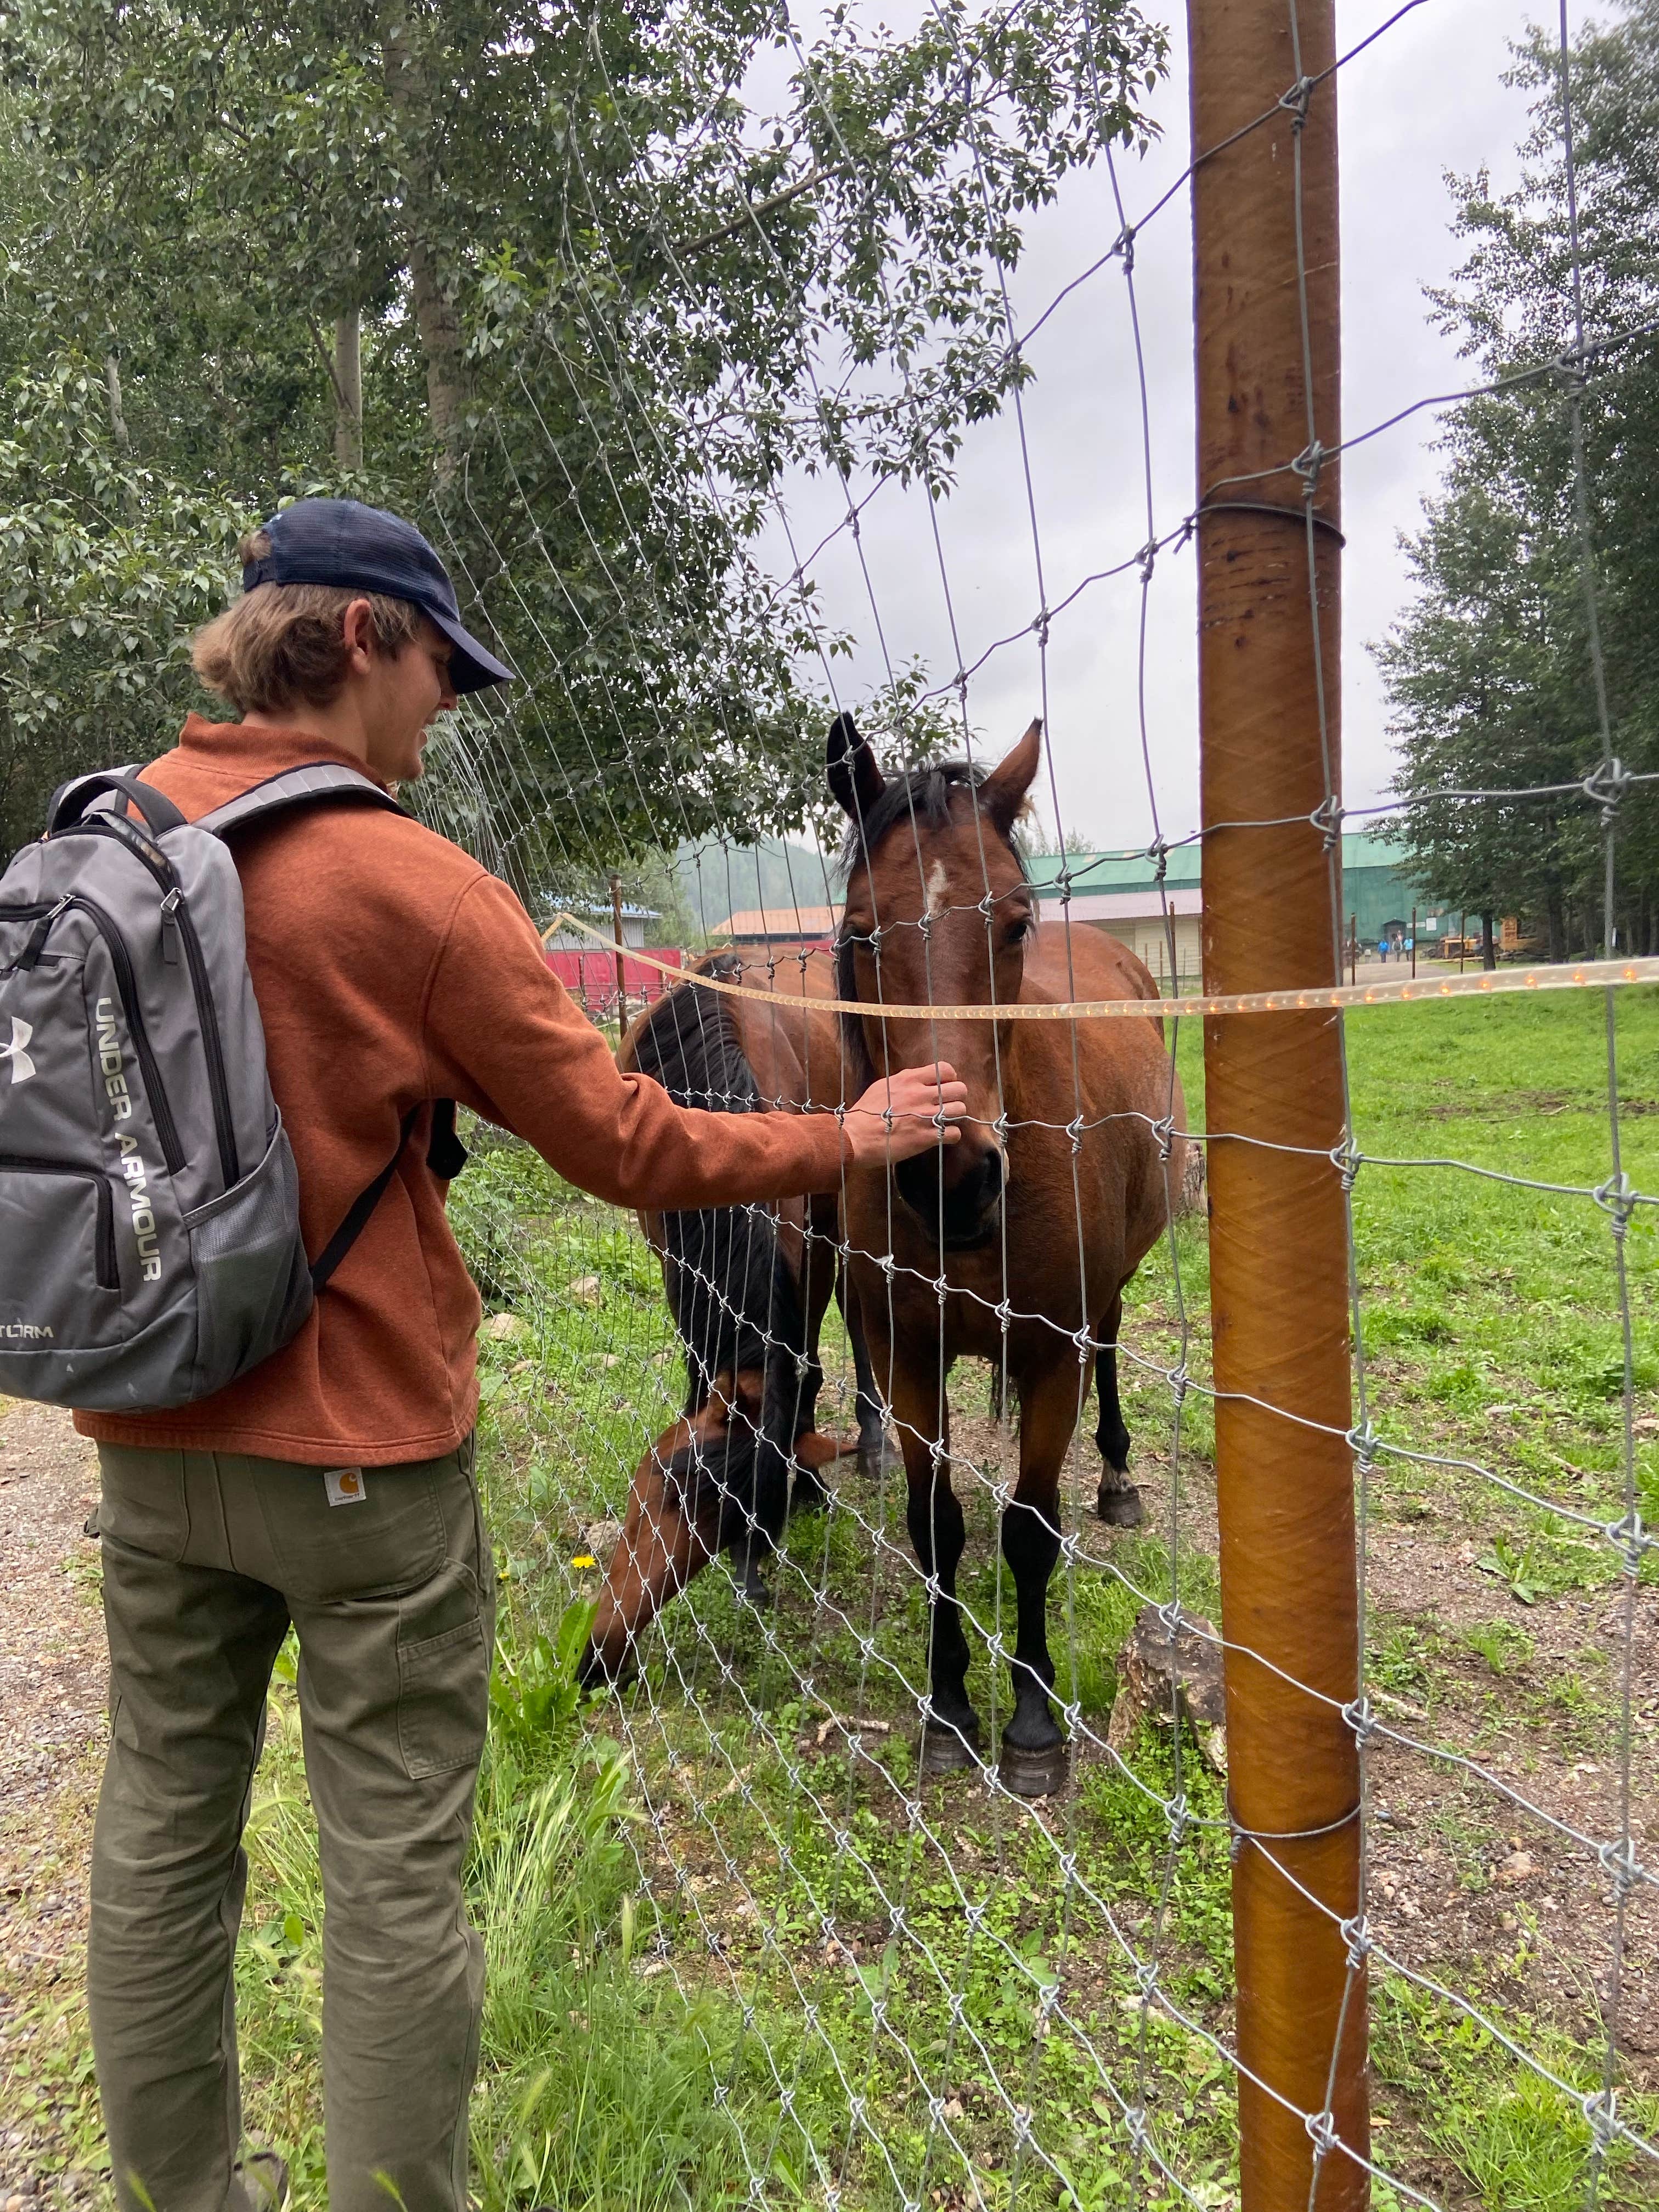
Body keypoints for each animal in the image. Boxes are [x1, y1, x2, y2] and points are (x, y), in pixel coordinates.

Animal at [827, 710, 1187, 1796]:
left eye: (1015, 923)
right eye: (861, 932)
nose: (951, 1178)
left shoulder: (1049, 1355)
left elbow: (1030, 1529)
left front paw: (1031, 1724)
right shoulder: (905, 1355)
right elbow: (935, 1522)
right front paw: (947, 1708)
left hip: (1105, 1302)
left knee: (1111, 1351)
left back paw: (1117, 1480)